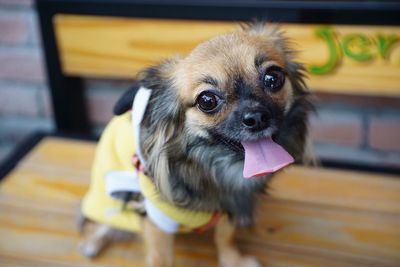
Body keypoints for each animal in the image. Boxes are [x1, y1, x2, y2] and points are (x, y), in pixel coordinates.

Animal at [79, 23, 316, 267]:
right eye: (207, 101)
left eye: (273, 78)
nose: (257, 117)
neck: (217, 167)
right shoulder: (156, 220)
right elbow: (161, 258)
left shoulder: (229, 205)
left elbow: (225, 237)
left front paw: (233, 260)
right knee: (96, 222)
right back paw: (92, 242)